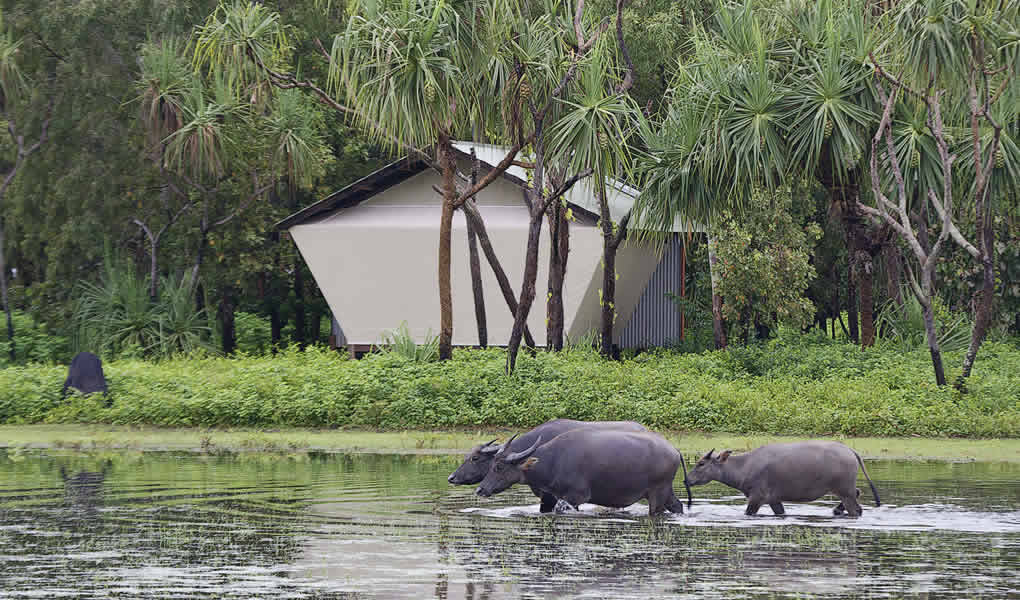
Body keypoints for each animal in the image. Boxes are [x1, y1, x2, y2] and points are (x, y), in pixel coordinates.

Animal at [473, 430, 689, 516]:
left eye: (499, 467)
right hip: (667, 492)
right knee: (678, 506)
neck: (554, 460)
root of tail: (674, 451)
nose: (480, 490)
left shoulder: (576, 497)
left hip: (657, 494)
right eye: (491, 464)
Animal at [681, 438, 881, 518]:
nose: (686, 480)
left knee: (856, 508)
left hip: (844, 490)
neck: (745, 466)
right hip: (844, 490)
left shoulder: (756, 498)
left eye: (701, 464)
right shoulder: (774, 500)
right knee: (857, 492)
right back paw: (836, 510)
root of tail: (851, 451)